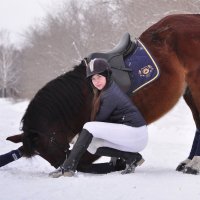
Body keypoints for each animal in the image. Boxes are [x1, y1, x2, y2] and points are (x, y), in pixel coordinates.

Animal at [2, 13, 200, 173]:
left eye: (49, 144)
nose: (59, 164)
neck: (83, 94)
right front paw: (120, 163)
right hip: (189, 92)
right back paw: (188, 162)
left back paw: (194, 164)